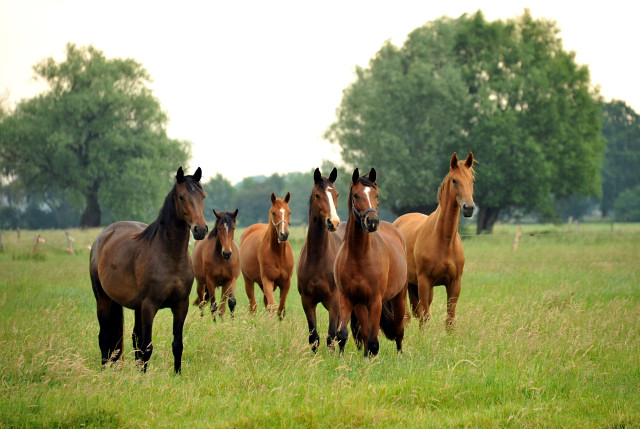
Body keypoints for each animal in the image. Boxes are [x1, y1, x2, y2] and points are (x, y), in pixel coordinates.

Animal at [88, 166, 205, 372]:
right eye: (181, 197)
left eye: (203, 196)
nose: (201, 230)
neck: (170, 256)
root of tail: (103, 236)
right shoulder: (149, 306)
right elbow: (147, 346)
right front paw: (143, 376)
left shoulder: (180, 305)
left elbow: (177, 344)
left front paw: (177, 373)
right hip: (103, 299)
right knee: (104, 337)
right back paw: (104, 370)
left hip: (135, 306)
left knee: (134, 338)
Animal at [332, 169, 408, 356]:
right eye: (356, 195)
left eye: (376, 195)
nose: (372, 221)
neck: (359, 257)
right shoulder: (347, 298)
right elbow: (343, 334)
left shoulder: (375, 301)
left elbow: (374, 341)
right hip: (361, 305)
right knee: (365, 333)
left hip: (399, 297)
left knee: (399, 330)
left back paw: (400, 356)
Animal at [392, 153, 478, 328]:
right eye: (454, 180)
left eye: (472, 180)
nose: (469, 208)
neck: (444, 241)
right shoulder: (425, 282)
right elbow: (425, 319)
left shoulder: (454, 284)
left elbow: (450, 320)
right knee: (407, 316)